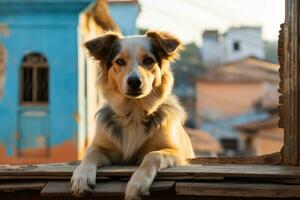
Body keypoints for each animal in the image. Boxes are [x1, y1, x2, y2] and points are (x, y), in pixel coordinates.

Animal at [71, 30, 196, 200]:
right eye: (119, 61)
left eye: (148, 60)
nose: (135, 81)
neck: (134, 112)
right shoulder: (102, 146)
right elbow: (90, 153)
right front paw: (82, 176)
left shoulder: (176, 152)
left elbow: (152, 156)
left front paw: (138, 183)